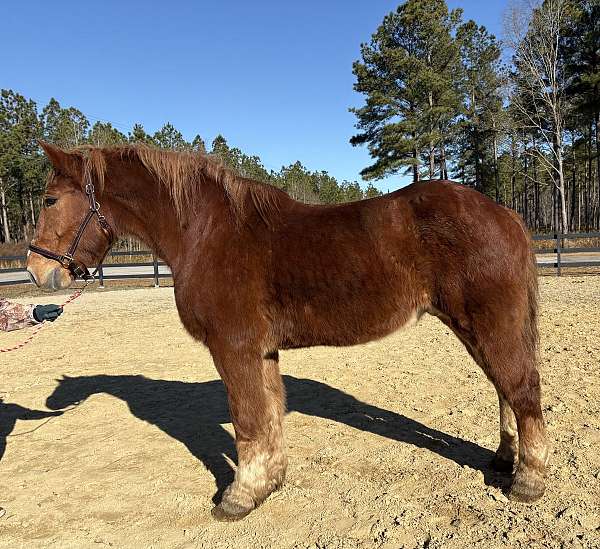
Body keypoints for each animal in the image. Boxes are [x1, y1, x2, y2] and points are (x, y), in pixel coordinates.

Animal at [29, 141, 548, 520]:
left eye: (51, 200)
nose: (38, 271)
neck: (207, 231)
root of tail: (506, 214)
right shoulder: (262, 352)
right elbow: (269, 416)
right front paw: (268, 483)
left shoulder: (233, 348)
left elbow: (247, 420)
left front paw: (237, 498)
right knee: (505, 389)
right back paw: (504, 460)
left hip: (487, 323)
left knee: (521, 389)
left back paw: (528, 481)